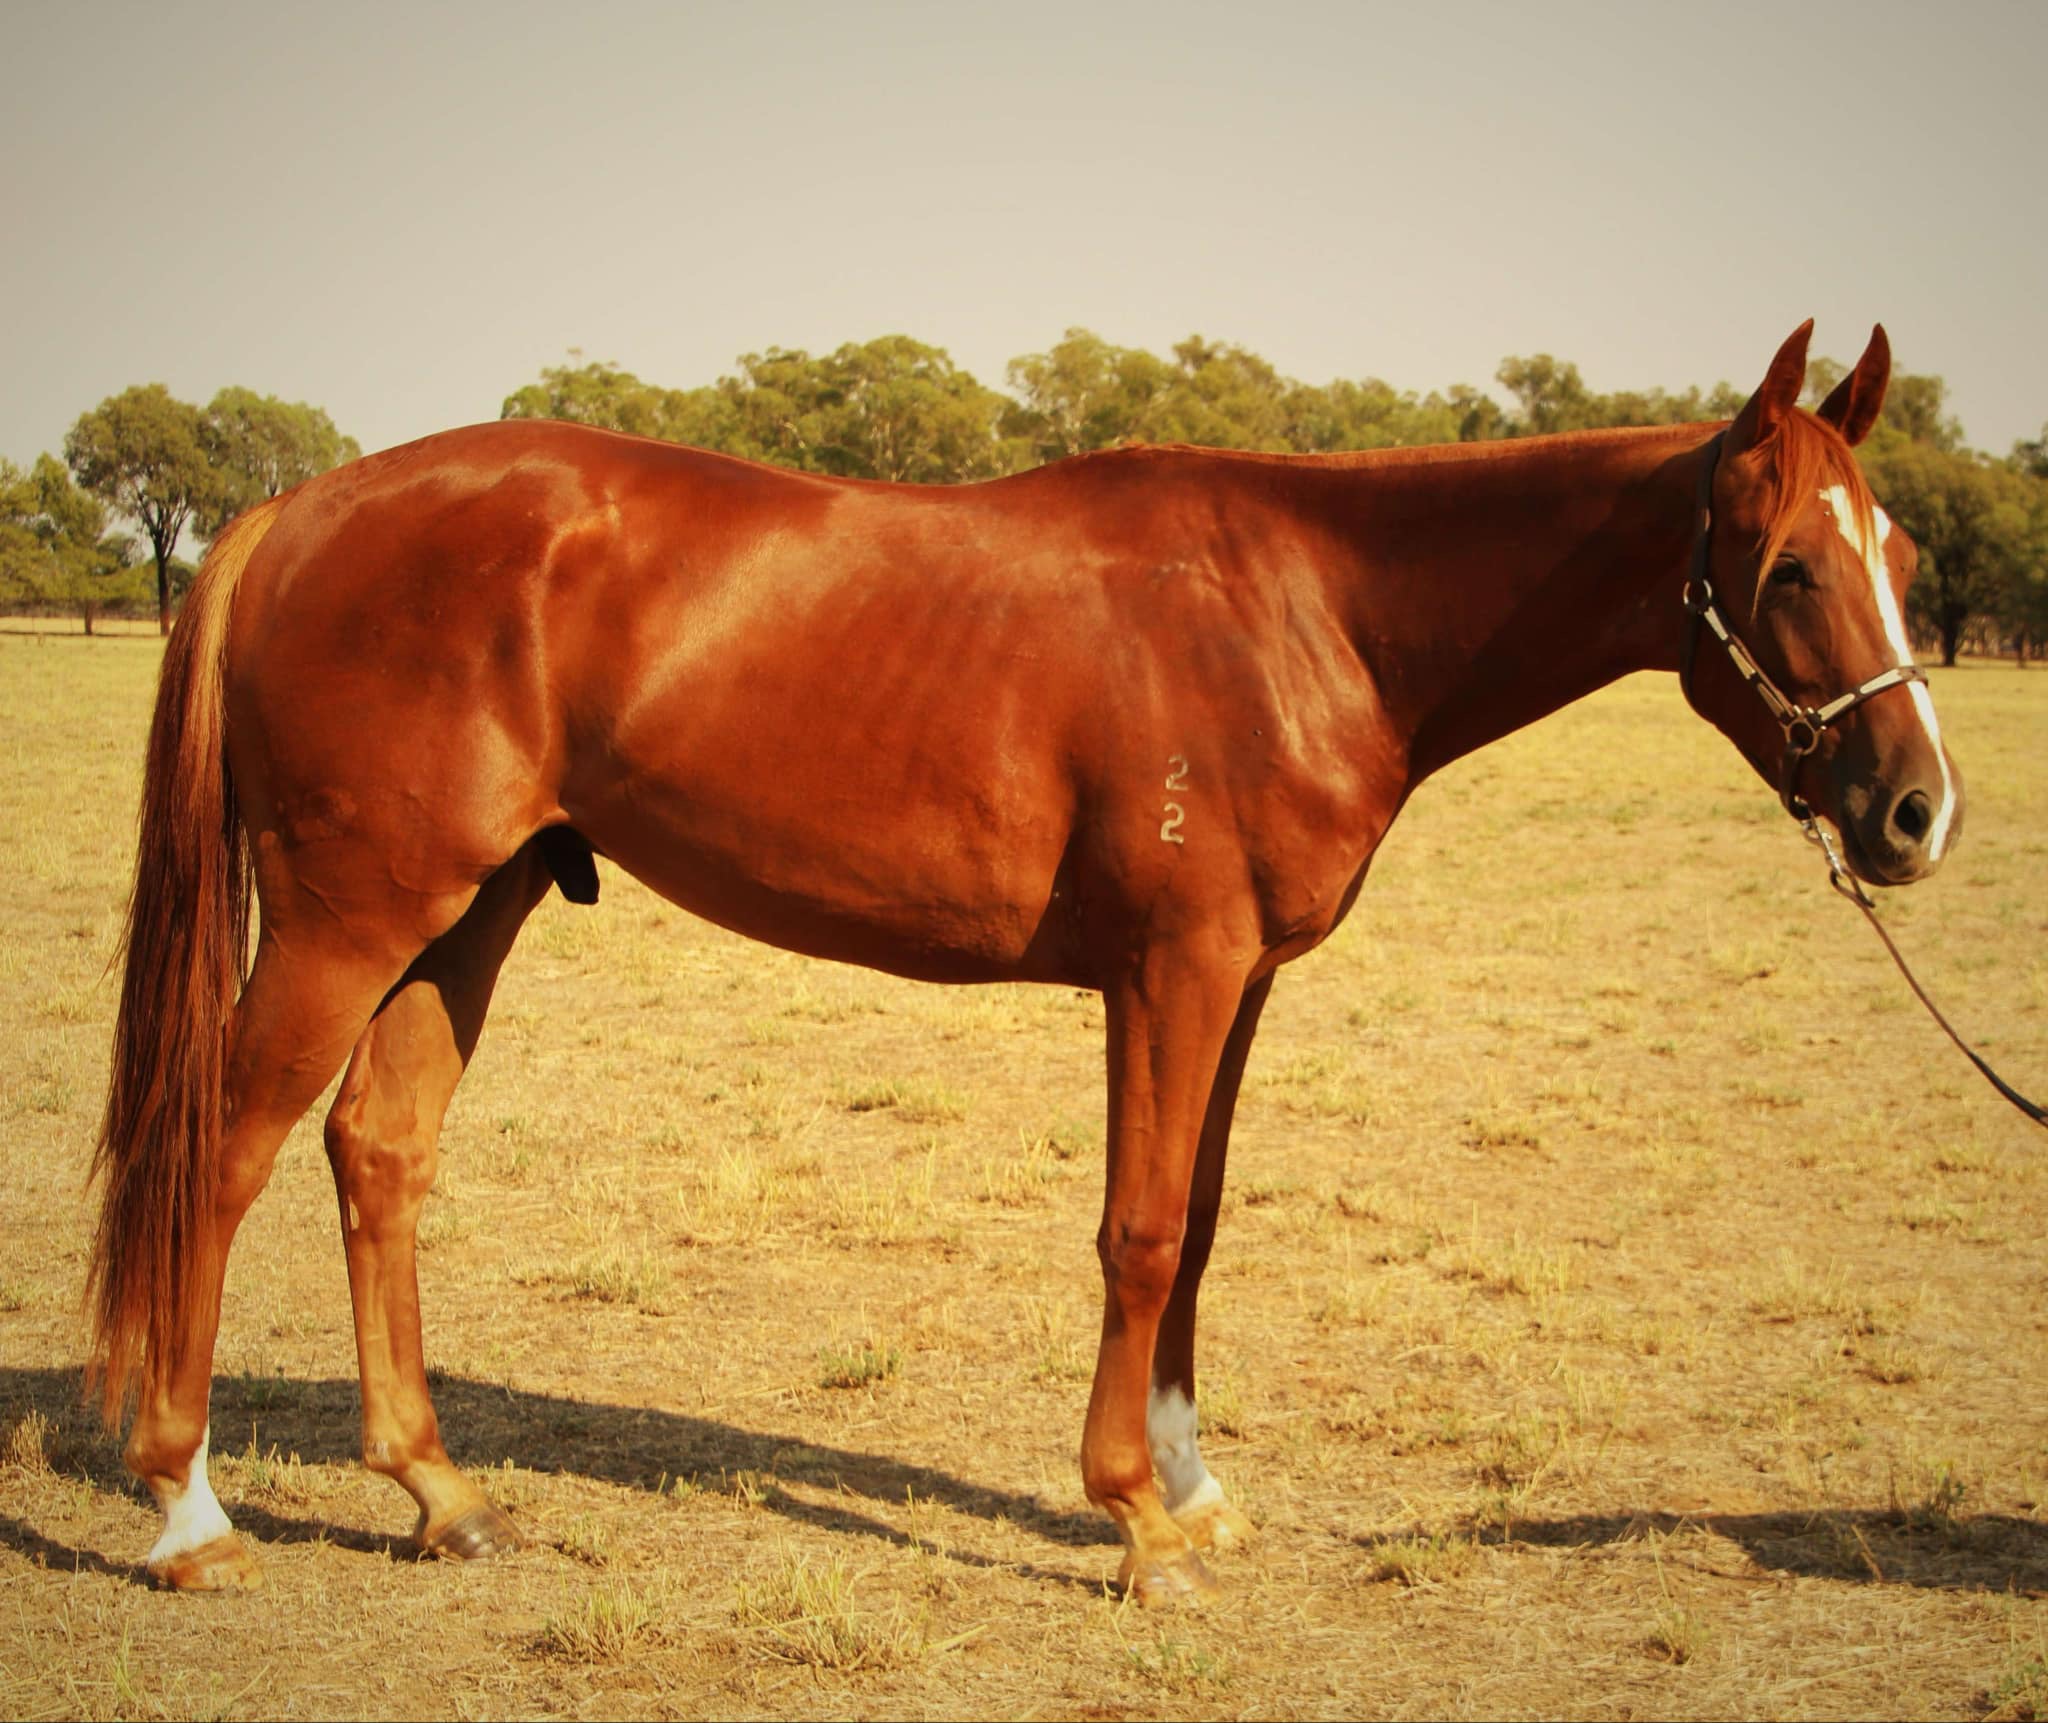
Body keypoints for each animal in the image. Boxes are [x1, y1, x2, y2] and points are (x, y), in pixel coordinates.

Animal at [90, 320, 1960, 1606]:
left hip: (467, 909)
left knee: (378, 1150)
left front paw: (1192, 1487)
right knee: (225, 1149)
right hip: (349, 914)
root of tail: (294, 510)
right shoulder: (1172, 969)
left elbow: (1200, 1216)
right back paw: (188, 1509)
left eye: (1904, 558)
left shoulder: (1239, 981)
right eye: (1790, 565)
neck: (1309, 613)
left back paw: (440, 1491)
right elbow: (1138, 1230)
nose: (1914, 812)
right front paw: (1134, 1516)